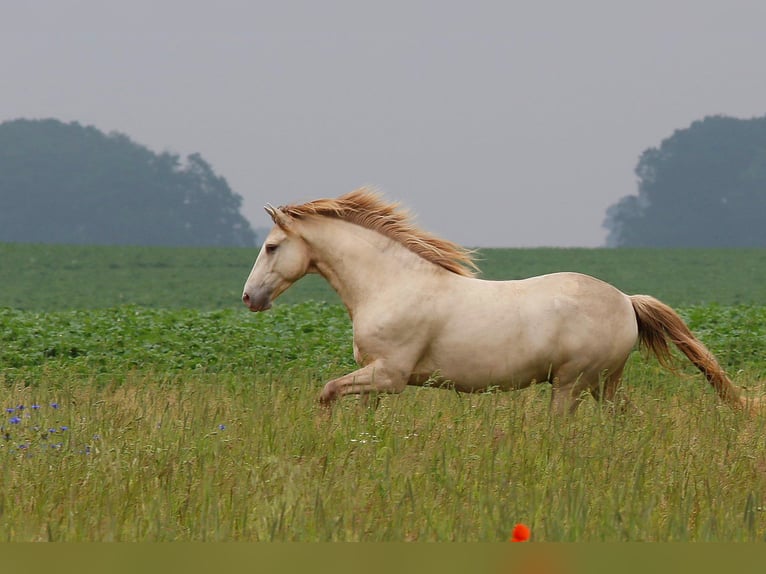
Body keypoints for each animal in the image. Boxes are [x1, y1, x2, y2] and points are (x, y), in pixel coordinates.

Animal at [242, 189, 752, 414]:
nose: (250, 297)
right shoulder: (375, 377)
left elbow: (327, 392)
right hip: (604, 384)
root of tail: (626, 300)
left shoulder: (390, 375)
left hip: (571, 384)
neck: (391, 284)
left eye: (271, 247)